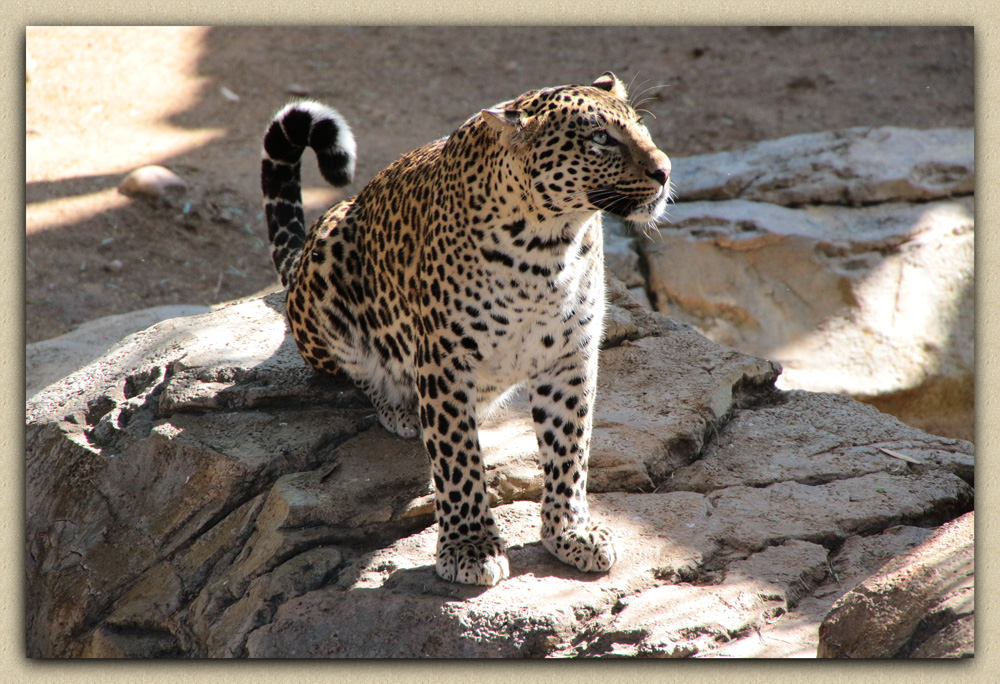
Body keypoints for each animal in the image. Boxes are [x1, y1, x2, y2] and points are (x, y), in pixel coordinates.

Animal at [264, 72, 672, 584]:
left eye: (641, 126)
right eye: (600, 139)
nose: (665, 170)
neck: (547, 248)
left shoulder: (569, 355)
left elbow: (570, 447)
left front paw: (571, 532)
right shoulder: (445, 361)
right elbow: (458, 457)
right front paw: (470, 546)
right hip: (328, 254)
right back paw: (400, 407)